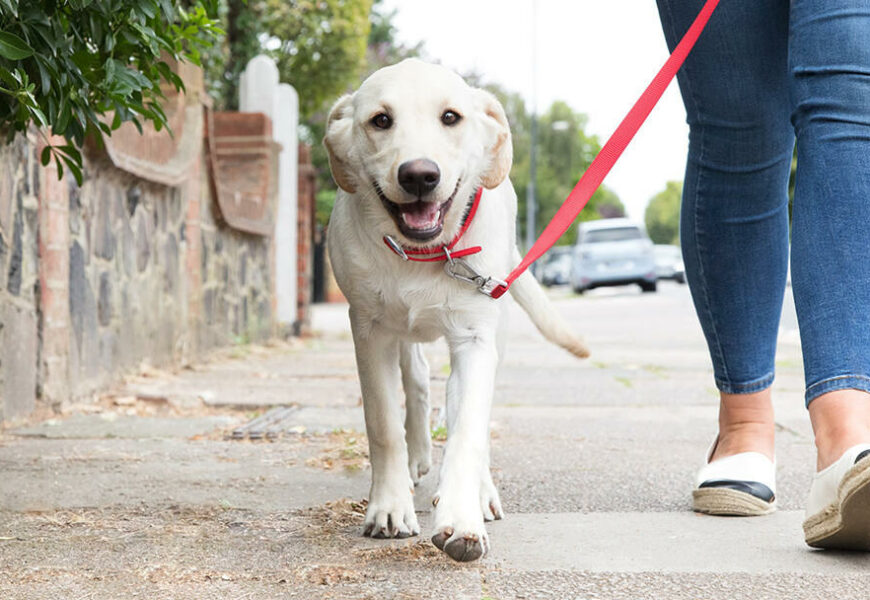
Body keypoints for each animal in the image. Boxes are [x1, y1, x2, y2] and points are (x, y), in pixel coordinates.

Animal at [328, 58, 592, 560]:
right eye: (380, 120)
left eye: (450, 117)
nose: (419, 175)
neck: (424, 255)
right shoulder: (368, 330)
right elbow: (383, 424)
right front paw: (389, 507)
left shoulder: (474, 338)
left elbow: (468, 430)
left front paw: (462, 520)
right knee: (416, 379)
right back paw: (417, 456)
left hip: (494, 331)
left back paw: (480, 492)